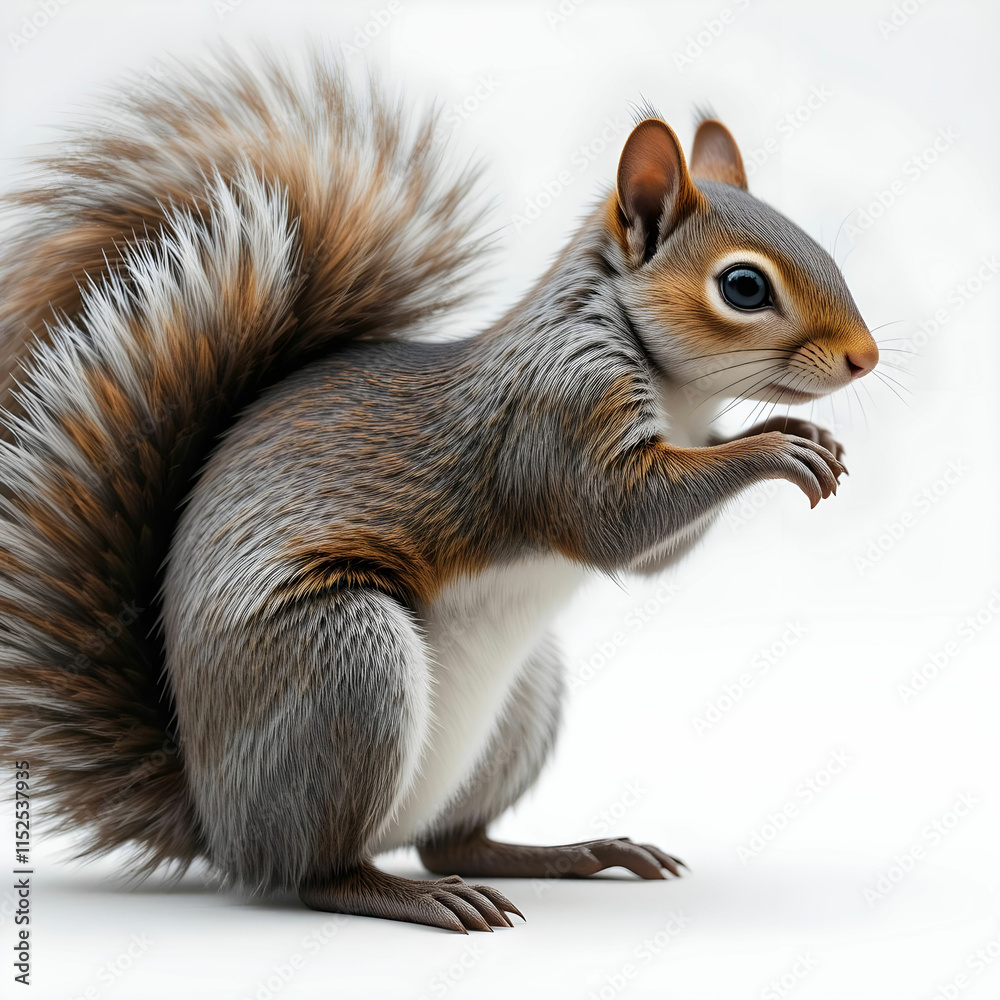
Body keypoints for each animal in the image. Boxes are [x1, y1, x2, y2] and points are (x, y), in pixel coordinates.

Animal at [0, 52, 878, 932]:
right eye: (744, 287)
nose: (865, 359)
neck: (677, 394)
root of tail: (219, 826)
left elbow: (648, 553)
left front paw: (793, 436)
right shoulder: (556, 410)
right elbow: (611, 521)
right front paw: (775, 447)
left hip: (519, 699)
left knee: (453, 840)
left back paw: (572, 853)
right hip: (345, 667)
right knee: (319, 872)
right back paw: (408, 894)